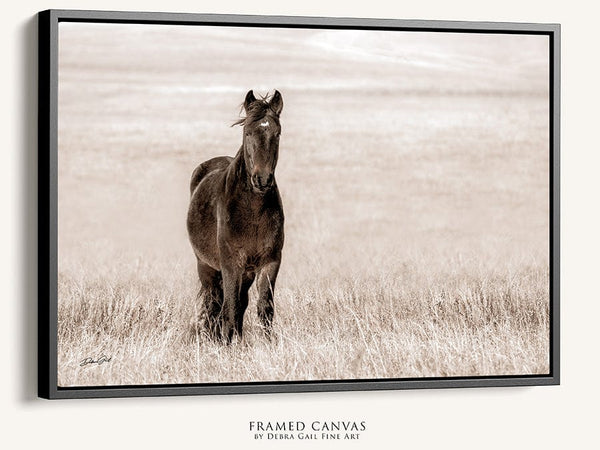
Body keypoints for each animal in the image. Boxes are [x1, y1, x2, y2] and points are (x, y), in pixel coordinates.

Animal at [188, 89, 284, 342]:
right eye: (247, 132)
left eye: (277, 133)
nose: (262, 179)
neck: (253, 211)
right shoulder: (231, 264)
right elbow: (230, 306)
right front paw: (227, 343)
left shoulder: (270, 262)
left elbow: (264, 307)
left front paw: (267, 343)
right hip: (206, 266)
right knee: (214, 302)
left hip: (246, 272)